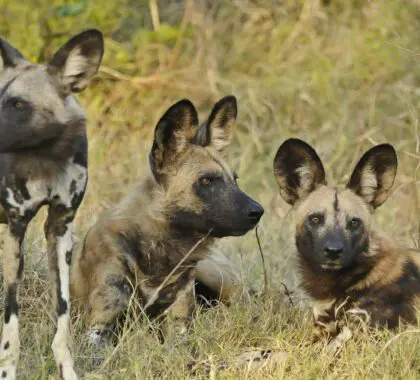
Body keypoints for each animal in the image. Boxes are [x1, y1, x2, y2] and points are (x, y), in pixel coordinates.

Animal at [0, 30, 104, 380]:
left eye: (19, 104)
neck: (44, 157)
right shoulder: (15, 228)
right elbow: (11, 322)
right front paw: (7, 371)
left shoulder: (59, 228)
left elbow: (62, 317)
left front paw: (66, 370)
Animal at [71, 95, 262, 348]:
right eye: (206, 180)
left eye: (235, 179)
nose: (258, 211)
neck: (159, 253)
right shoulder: (98, 327)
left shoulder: (179, 326)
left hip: (218, 278)